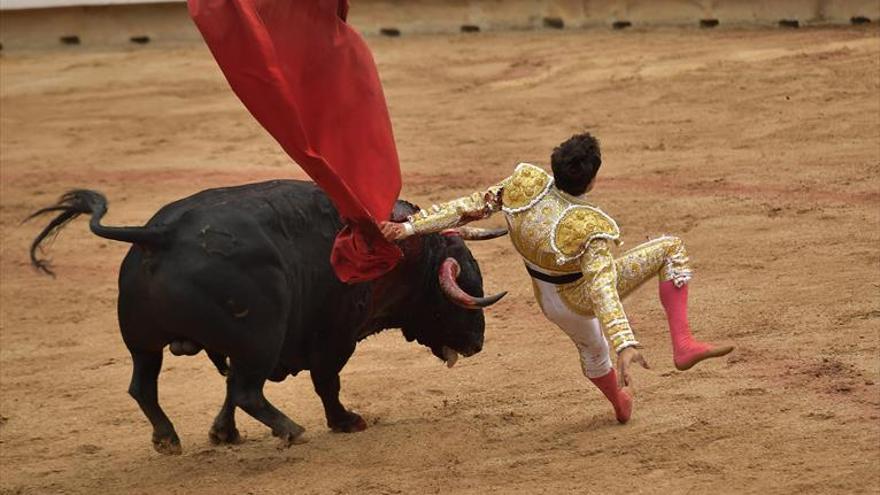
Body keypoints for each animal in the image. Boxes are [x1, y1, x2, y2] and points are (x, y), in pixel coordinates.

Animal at [27, 180, 506, 456]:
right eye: (463, 286)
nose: (478, 343)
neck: (405, 252)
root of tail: (160, 235)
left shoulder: (234, 347)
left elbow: (226, 390)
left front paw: (222, 434)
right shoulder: (334, 338)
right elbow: (326, 383)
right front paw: (345, 421)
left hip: (145, 343)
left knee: (147, 386)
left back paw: (168, 439)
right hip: (261, 336)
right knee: (247, 391)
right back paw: (291, 430)